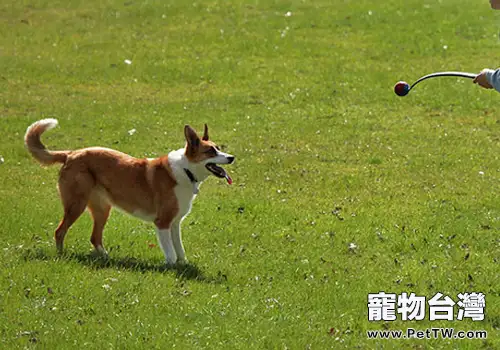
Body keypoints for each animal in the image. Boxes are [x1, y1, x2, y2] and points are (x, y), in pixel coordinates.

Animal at [23, 120, 234, 266]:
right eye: (210, 151)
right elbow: (171, 253)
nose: (231, 157)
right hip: (76, 205)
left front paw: (184, 265)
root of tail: (70, 154)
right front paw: (172, 268)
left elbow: (180, 250)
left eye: (219, 149)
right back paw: (61, 256)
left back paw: (107, 258)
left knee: (94, 237)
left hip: (102, 209)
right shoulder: (163, 223)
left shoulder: (175, 224)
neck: (185, 170)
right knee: (59, 231)